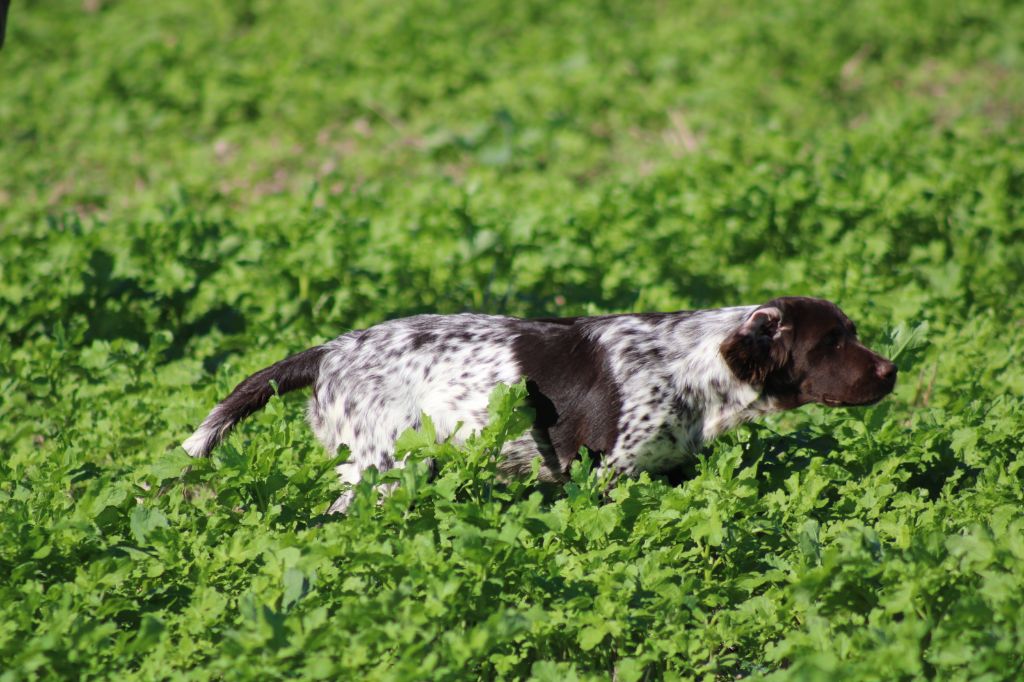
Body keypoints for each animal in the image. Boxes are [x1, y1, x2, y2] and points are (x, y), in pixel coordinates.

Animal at [182, 294, 897, 512]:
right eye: (832, 342)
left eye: (852, 331)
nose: (892, 372)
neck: (690, 365)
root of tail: (328, 351)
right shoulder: (609, 473)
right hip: (382, 471)